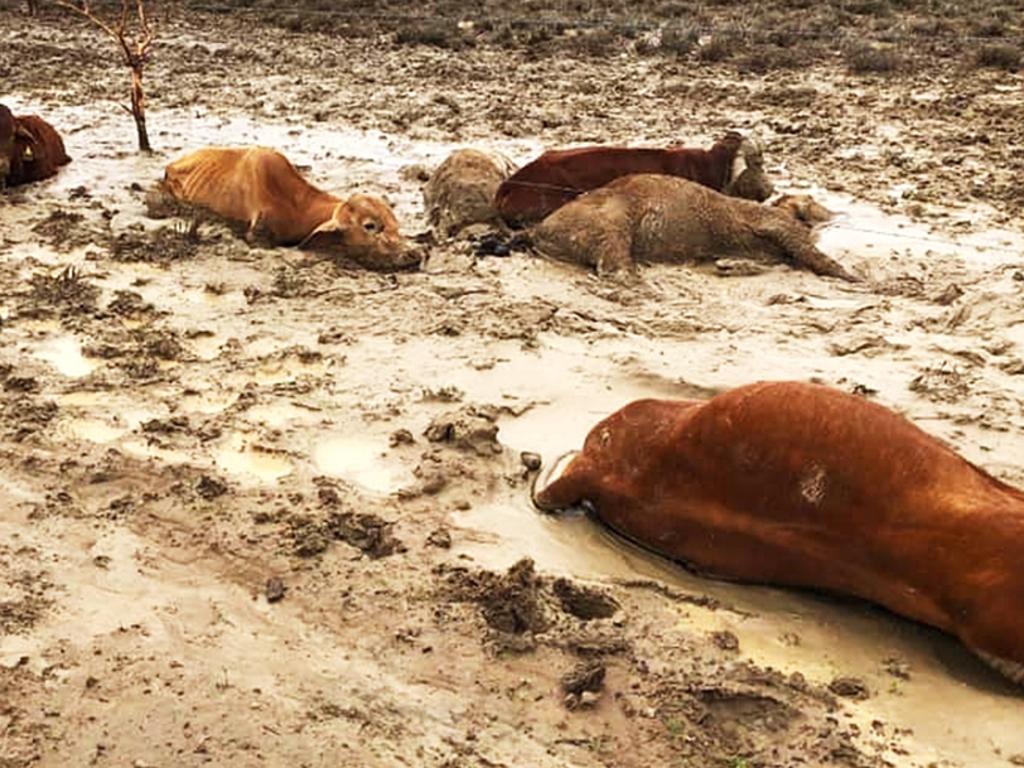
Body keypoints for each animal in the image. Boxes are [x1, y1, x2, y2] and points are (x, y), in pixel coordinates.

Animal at [528, 174, 856, 282]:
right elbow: (813, 254)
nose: (842, 213)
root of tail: (536, 232)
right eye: (811, 199)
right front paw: (858, 280)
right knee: (615, 263)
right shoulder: (779, 224)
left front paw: (728, 265)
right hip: (609, 220)